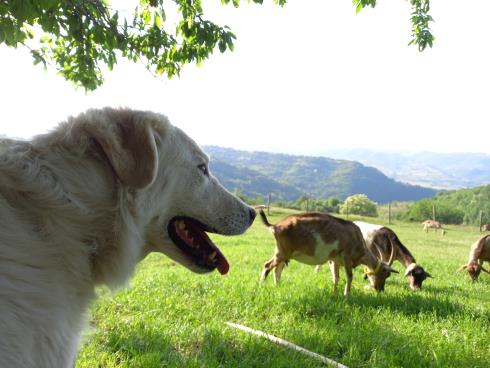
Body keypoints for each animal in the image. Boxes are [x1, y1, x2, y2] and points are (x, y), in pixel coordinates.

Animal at [256, 211, 398, 294]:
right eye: (385, 274)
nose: (380, 290)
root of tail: (275, 226)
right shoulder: (346, 256)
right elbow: (349, 276)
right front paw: (346, 296)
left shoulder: (334, 260)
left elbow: (336, 277)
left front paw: (334, 293)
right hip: (282, 252)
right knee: (267, 265)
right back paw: (261, 285)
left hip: (284, 253)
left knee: (277, 268)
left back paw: (277, 286)